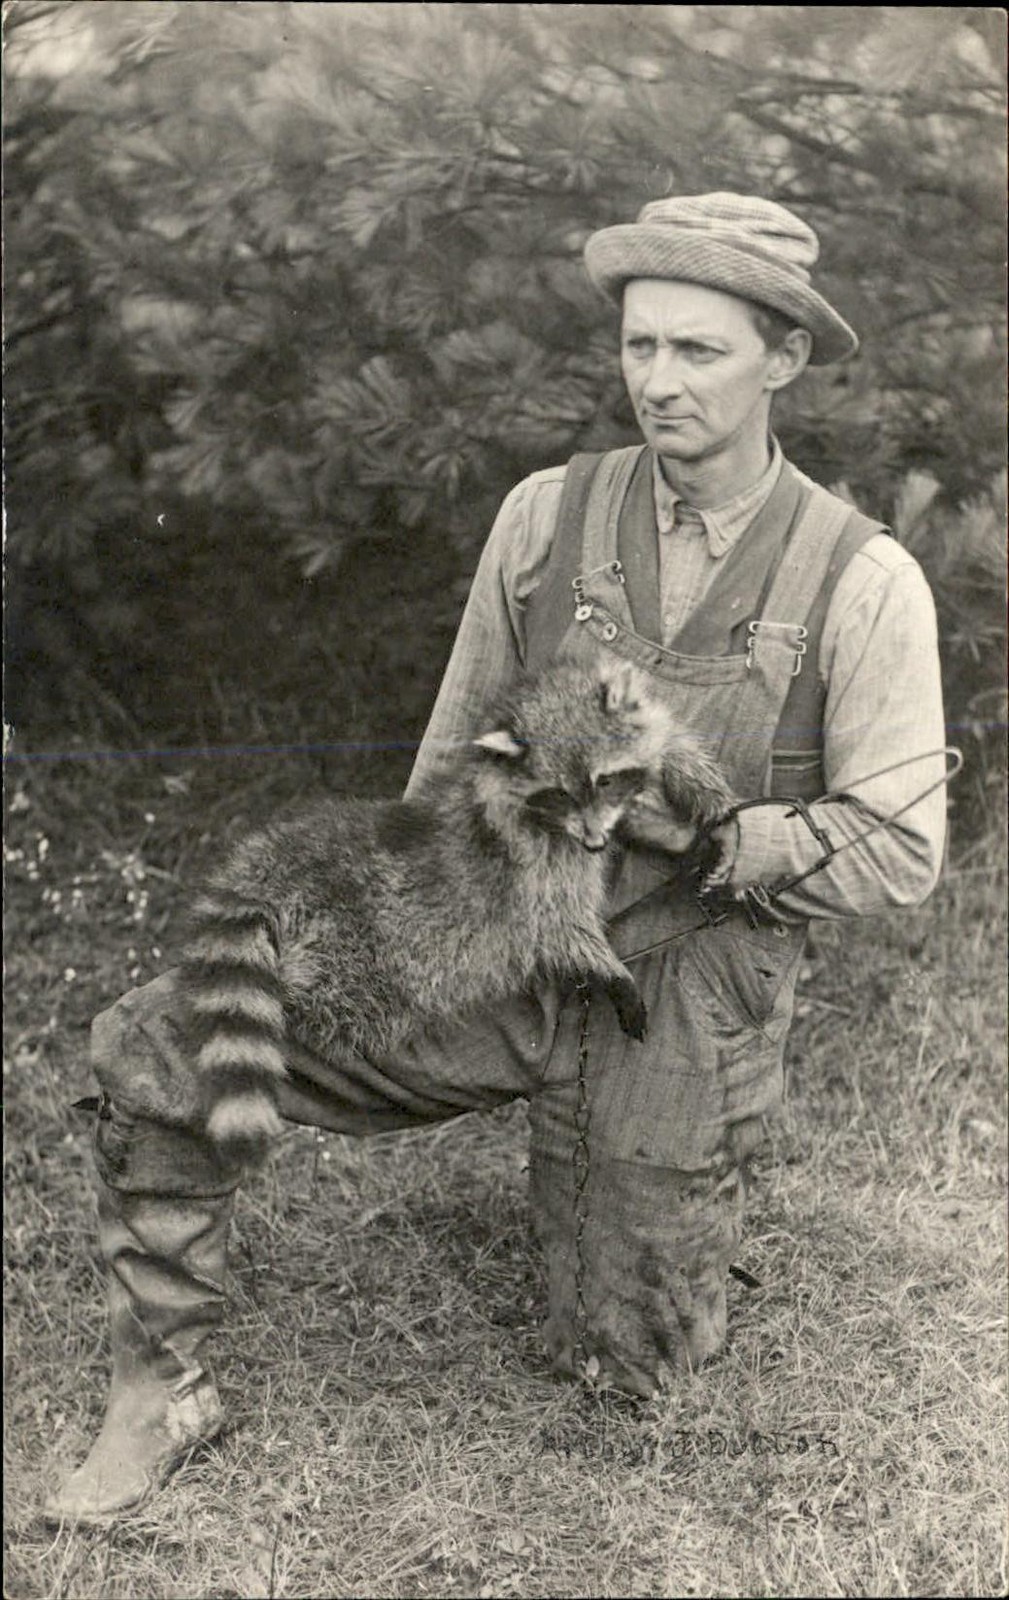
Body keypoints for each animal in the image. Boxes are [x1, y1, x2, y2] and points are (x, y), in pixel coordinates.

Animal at [181, 658, 733, 1155]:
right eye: (558, 794)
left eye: (605, 780)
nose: (597, 843)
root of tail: (280, 856)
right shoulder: (530, 867)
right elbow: (556, 927)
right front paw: (612, 970)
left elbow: (674, 747)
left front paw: (709, 812)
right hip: (348, 944)